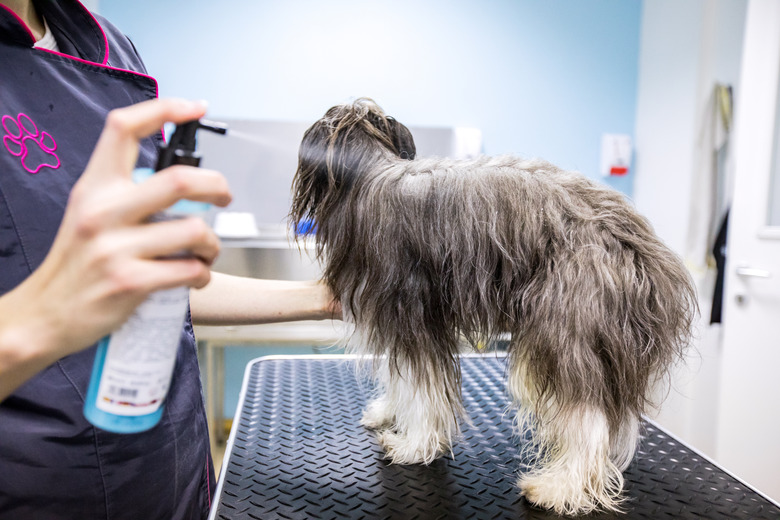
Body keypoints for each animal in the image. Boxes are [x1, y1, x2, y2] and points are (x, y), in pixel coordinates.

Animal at [290, 98, 696, 516]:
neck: (369, 174)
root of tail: (638, 247)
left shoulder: (411, 313)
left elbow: (422, 388)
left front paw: (414, 444)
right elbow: (399, 379)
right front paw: (388, 412)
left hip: (564, 328)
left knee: (586, 417)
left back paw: (559, 488)